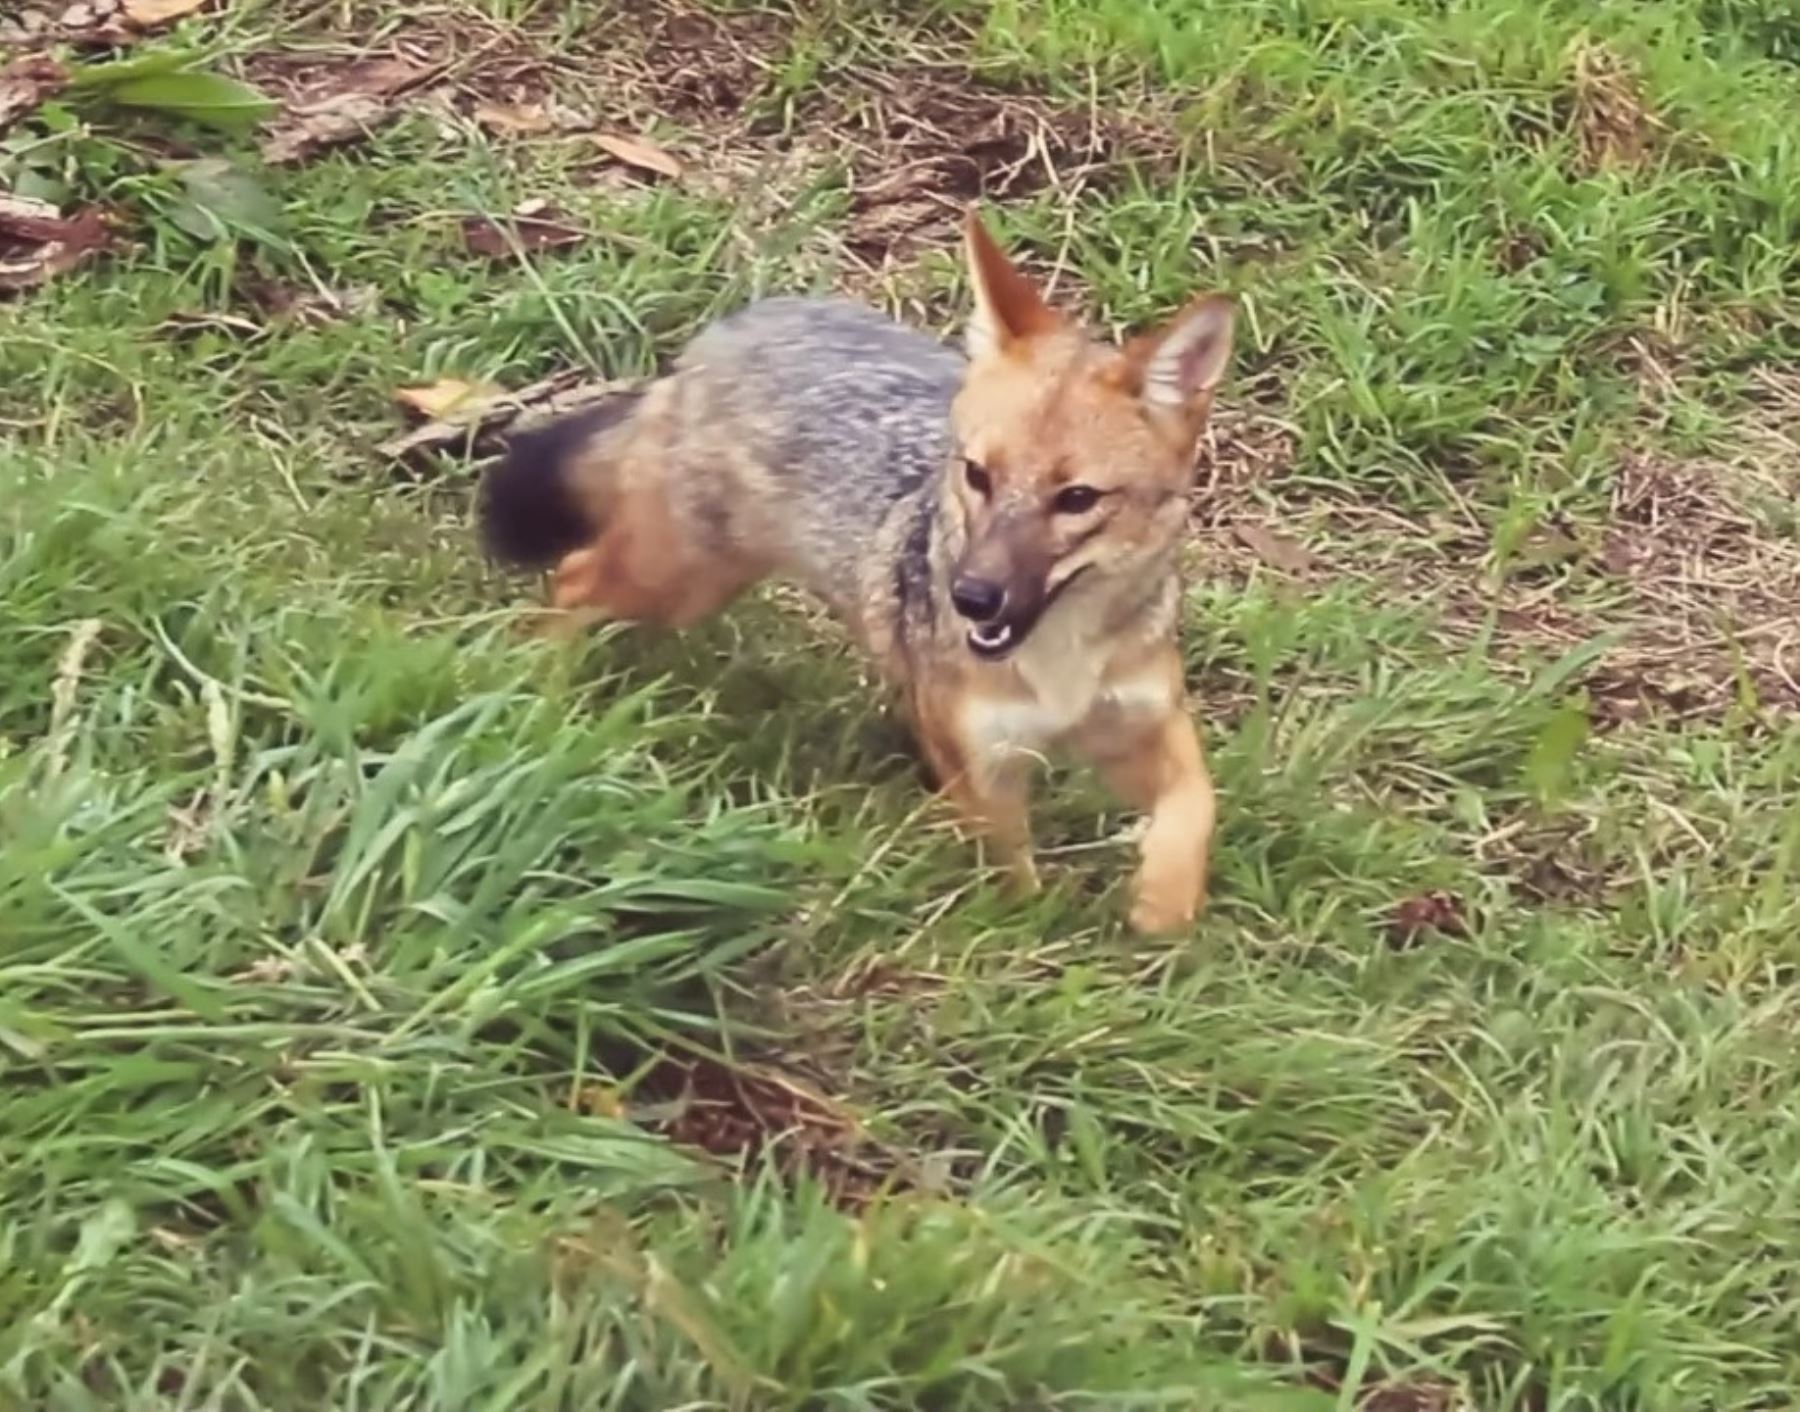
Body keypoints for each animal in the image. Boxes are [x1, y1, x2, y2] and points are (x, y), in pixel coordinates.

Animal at [482, 207, 1238, 936]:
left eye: (1076, 499)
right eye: (977, 475)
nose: (972, 597)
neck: (1061, 668)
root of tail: (722, 333)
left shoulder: (1145, 722)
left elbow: (1199, 804)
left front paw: (1164, 905)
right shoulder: (979, 769)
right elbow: (1015, 883)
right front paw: (1037, 933)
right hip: (677, 579)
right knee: (572, 576)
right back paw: (542, 690)